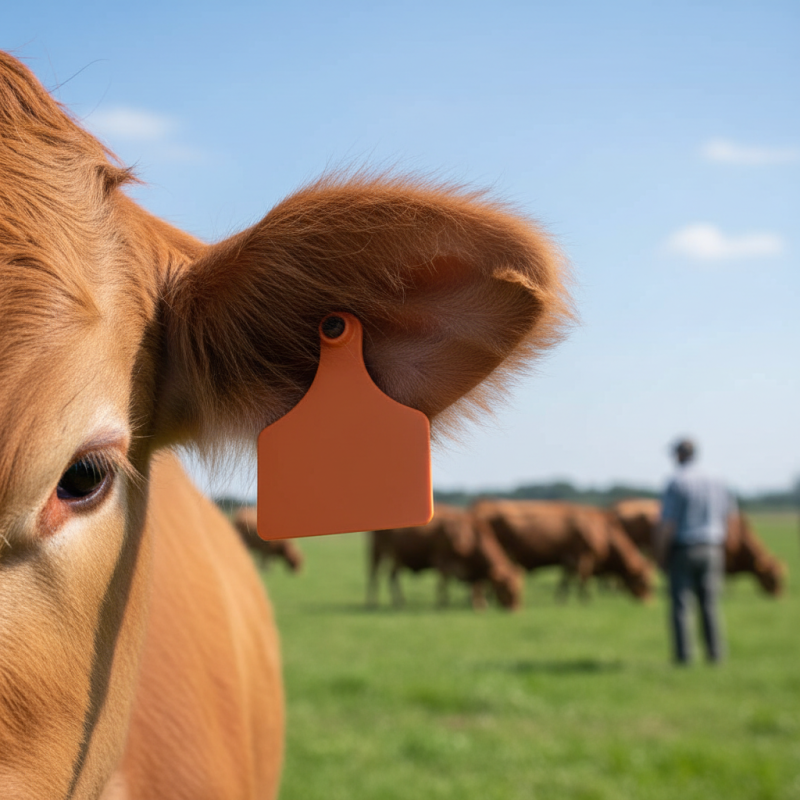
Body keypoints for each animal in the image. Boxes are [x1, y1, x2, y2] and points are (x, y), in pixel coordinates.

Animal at [367, 505, 523, 610]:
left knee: (393, 576)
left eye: (519, 587)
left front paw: (480, 604)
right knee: (374, 575)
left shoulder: (471, 568)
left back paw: (399, 601)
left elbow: (476, 584)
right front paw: (442, 604)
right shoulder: (443, 561)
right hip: (378, 551)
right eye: (505, 588)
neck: (470, 535)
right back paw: (372, 602)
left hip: (397, 557)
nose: (515, 610)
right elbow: (443, 584)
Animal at [471, 500, 653, 601]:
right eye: (644, 582)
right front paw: (585, 599)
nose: (648, 603)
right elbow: (583, 578)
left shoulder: (569, 558)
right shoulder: (583, 556)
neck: (602, 530)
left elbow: (566, 579)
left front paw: (561, 598)